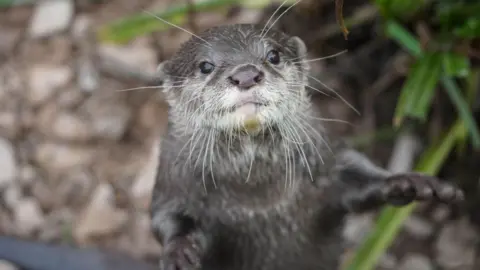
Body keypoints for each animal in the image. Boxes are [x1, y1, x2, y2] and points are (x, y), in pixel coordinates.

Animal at [151, 23, 464, 270]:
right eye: (205, 66)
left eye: (273, 55)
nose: (246, 75)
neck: (258, 200)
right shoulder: (173, 183)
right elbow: (165, 218)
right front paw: (179, 251)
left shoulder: (327, 165)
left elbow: (358, 178)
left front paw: (407, 182)